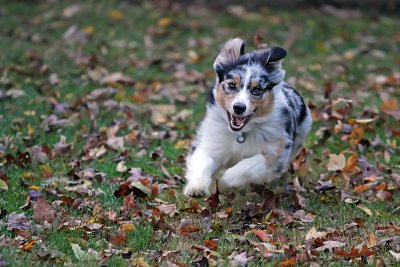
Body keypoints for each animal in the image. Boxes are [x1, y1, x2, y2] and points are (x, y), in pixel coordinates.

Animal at [184, 37, 312, 197]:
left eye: (256, 90)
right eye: (231, 85)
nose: (239, 108)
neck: (241, 133)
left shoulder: (276, 154)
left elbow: (248, 165)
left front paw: (224, 183)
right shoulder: (210, 143)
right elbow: (203, 161)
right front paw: (196, 187)